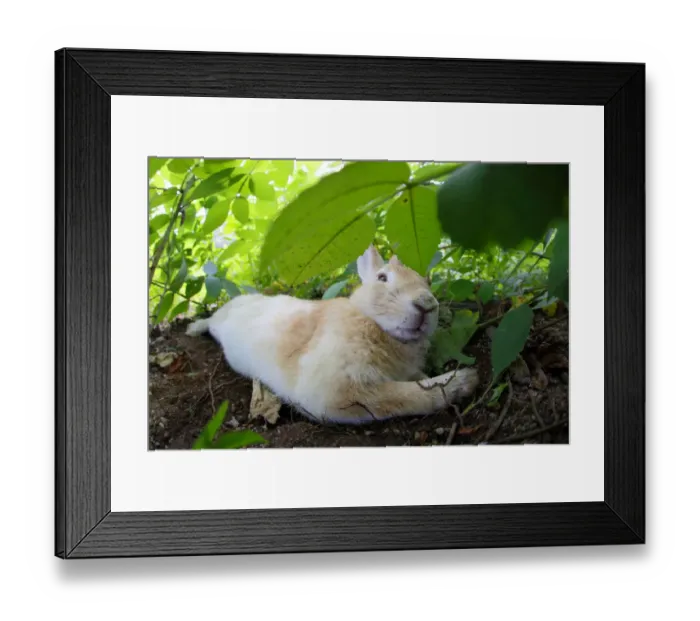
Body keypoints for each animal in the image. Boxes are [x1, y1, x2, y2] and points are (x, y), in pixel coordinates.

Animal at [186, 244, 480, 424]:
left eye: (425, 281)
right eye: (382, 278)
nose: (427, 304)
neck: (370, 320)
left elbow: (418, 380)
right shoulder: (341, 392)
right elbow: (406, 395)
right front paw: (464, 381)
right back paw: (194, 328)